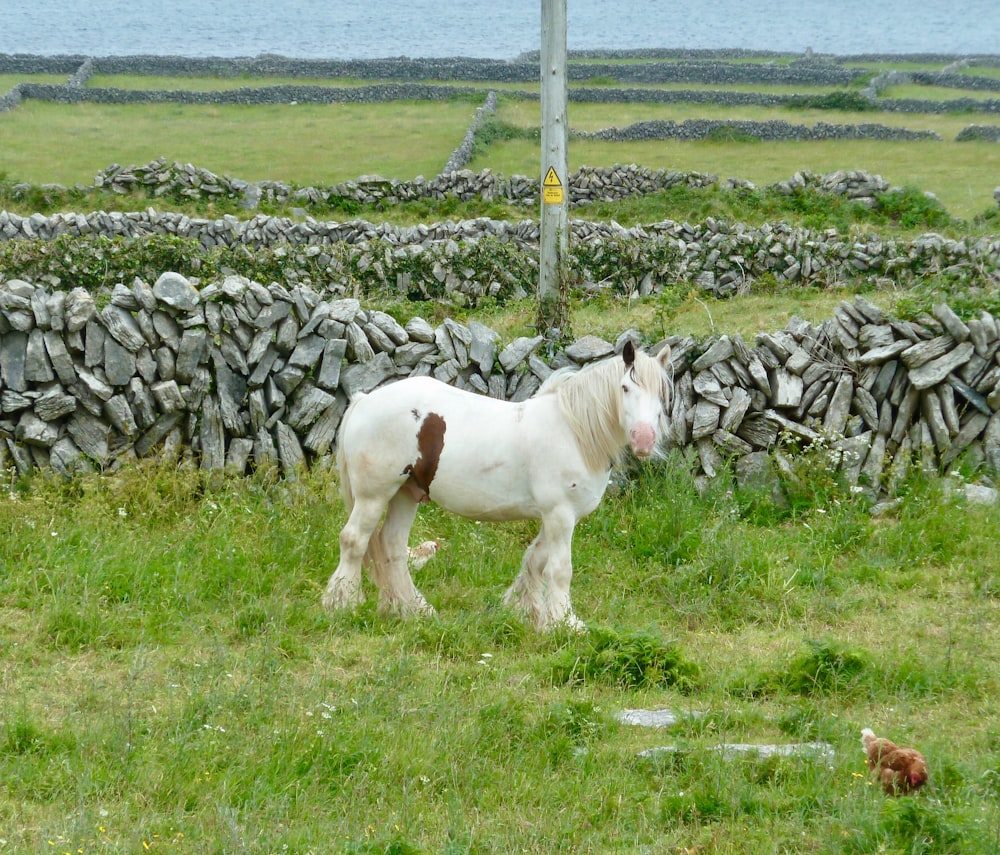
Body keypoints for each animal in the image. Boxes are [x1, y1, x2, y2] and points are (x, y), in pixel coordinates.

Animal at [324, 340, 672, 628]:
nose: (644, 440)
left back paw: (413, 610)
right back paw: (344, 605)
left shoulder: (553, 517)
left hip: (406, 494)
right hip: (374, 495)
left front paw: (528, 612)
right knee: (354, 541)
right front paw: (565, 623)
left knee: (393, 547)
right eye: (625, 387)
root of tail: (364, 399)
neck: (573, 431)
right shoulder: (560, 515)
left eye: (661, 394)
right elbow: (559, 569)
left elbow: (535, 561)